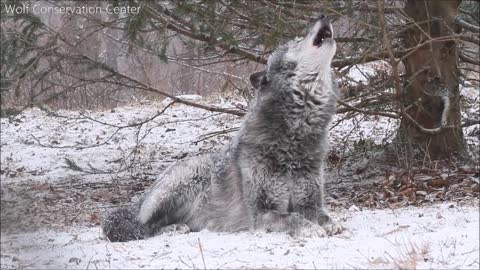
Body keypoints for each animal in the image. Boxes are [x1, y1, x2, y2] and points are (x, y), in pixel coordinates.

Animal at [103, 15, 344, 242]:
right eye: (295, 41)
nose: (322, 15)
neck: (295, 134)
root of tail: (142, 197)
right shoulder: (262, 213)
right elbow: (293, 218)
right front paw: (311, 228)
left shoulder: (309, 202)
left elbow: (322, 215)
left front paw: (330, 224)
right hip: (184, 180)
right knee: (144, 228)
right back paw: (173, 228)